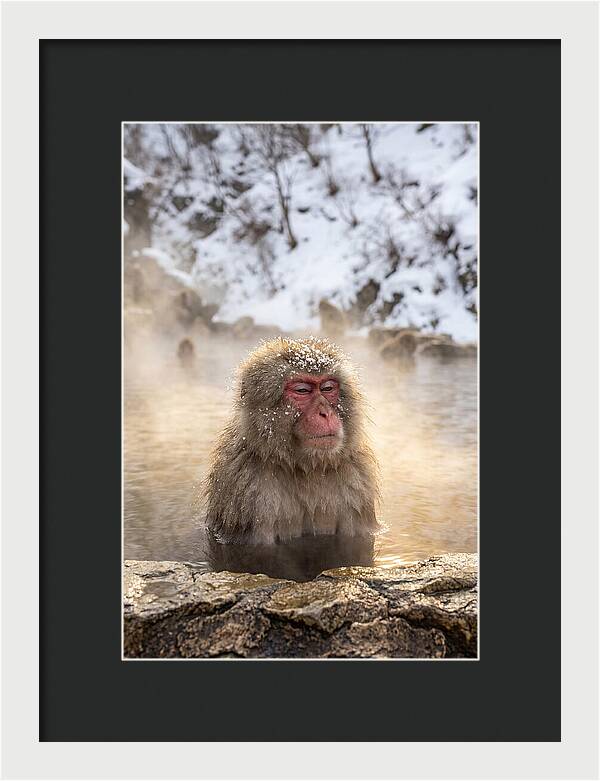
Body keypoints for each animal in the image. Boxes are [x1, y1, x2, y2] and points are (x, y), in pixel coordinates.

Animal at [205, 336, 379, 544]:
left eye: (328, 388)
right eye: (302, 390)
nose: (325, 413)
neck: (307, 468)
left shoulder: (357, 483)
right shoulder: (247, 492)